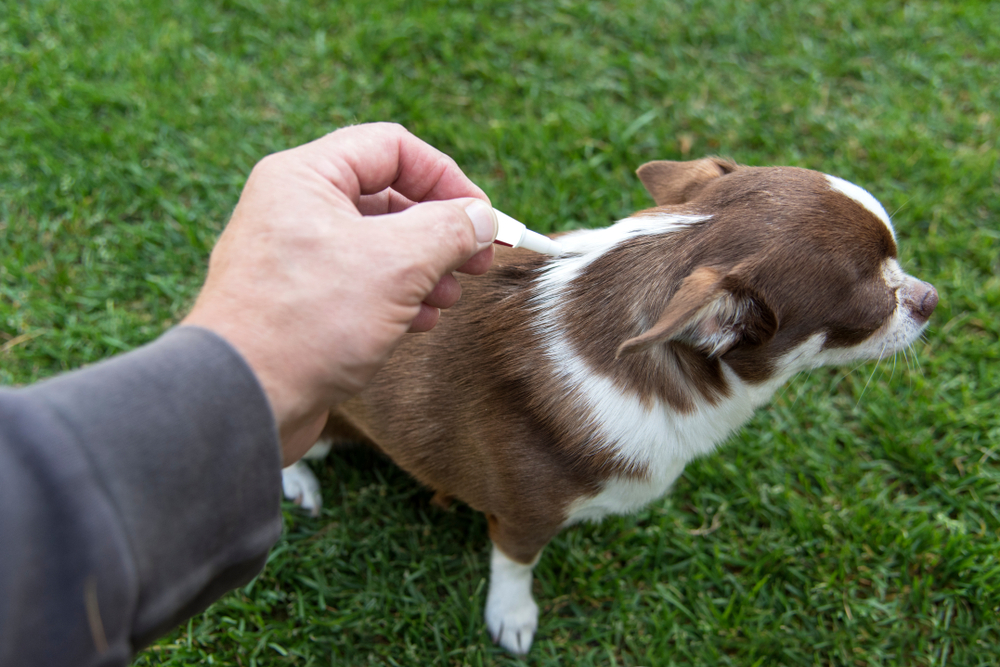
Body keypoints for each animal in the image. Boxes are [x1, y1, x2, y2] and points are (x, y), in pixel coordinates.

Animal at [280, 158, 936, 656]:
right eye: (876, 302)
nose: (931, 297)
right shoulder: (522, 517)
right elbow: (515, 564)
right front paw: (512, 615)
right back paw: (299, 484)